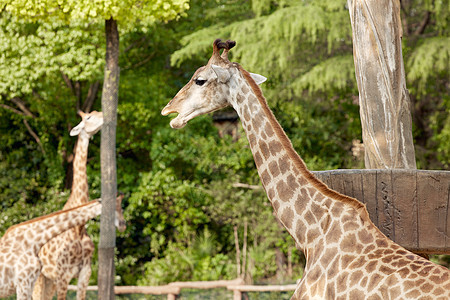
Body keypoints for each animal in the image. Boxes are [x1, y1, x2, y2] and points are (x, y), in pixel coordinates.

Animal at [32, 110, 125, 300]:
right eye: (89, 117)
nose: (106, 117)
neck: (79, 229)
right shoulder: (63, 275)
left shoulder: (85, 272)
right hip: (40, 278)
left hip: (49, 280)